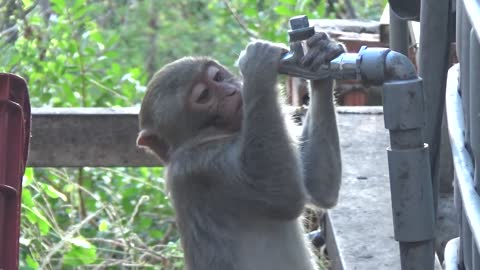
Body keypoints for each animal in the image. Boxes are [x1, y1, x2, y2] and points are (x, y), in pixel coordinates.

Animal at [137, 32, 344, 268]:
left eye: (217, 77)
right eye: (204, 95)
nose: (230, 91)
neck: (214, 137)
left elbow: (318, 188)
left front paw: (322, 52)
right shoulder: (202, 168)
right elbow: (283, 197)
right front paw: (257, 65)